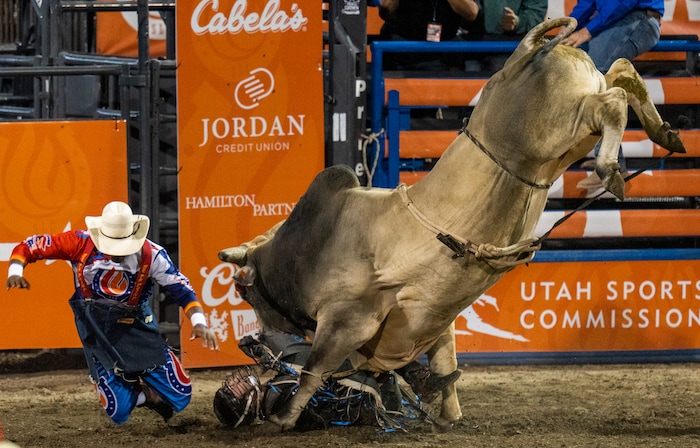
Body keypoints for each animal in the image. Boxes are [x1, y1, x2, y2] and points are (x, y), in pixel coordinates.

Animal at [219, 17, 685, 430]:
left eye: (244, 293)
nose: (256, 340)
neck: (308, 246)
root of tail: (527, 51)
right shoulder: (435, 319)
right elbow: (446, 362)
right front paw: (449, 416)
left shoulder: (347, 317)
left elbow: (313, 369)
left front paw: (282, 418)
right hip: (572, 127)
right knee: (621, 74)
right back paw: (663, 131)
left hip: (562, 125)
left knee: (611, 102)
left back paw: (613, 167)